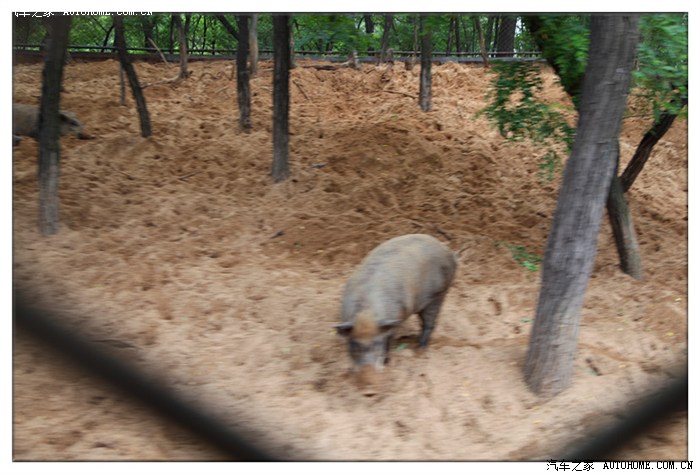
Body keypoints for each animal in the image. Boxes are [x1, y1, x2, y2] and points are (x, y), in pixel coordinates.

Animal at [336, 234, 458, 388]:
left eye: (378, 344)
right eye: (354, 344)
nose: (369, 382)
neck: (367, 313)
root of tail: (449, 252)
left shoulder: (395, 321)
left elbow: (389, 342)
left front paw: (387, 362)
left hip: (438, 294)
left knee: (429, 323)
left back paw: (420, 349)